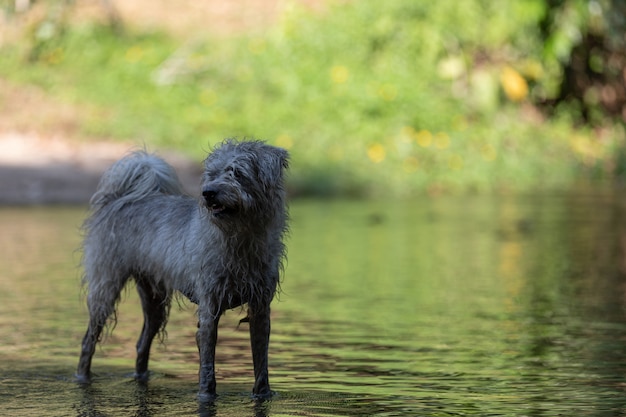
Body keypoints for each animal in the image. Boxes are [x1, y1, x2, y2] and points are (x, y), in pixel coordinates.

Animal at [75, 139, 288, 400]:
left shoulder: (260, 308)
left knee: (142, 343)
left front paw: (263, 395)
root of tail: (119, 199)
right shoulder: (209, 308)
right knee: (88, 341)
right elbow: (207, 365)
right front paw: (206, 396)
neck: (240, 239)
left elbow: (261, 361)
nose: (208, 193)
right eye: (211, 174)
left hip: (153, 299)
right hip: (105, 288)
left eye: (237, 172)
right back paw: (82, 377)